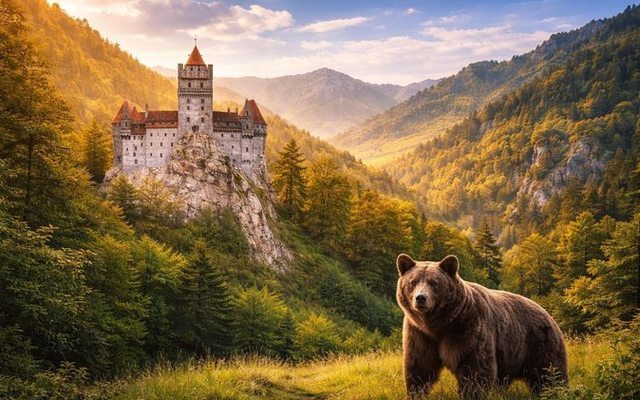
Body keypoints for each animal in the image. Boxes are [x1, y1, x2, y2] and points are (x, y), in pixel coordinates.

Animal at [396, 253, 567, 399]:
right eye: (413, 282)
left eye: (434, 283)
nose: (421, 298)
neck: (440, 324)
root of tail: (546, 312)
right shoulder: (419, 333)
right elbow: (419, 366)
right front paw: (416, 393)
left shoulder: (467, 327)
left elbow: (475, 368)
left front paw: (470, 394)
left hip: (540, 342)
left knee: (550, 373)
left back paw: (555, 392)